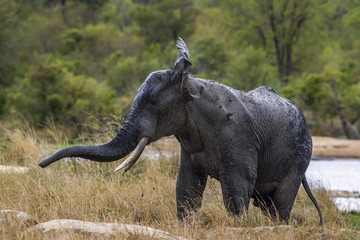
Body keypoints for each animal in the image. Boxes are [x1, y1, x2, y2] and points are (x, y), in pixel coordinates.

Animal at [39, 37, 324, 225]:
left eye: (154, 104)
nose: (40, 164)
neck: (191, 85)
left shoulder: (237, 138)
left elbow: (237, 186)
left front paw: (238, 227)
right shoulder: (190, 140)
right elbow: (186, 186)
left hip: (299, 156)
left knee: (280, 205)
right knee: (266, 204)